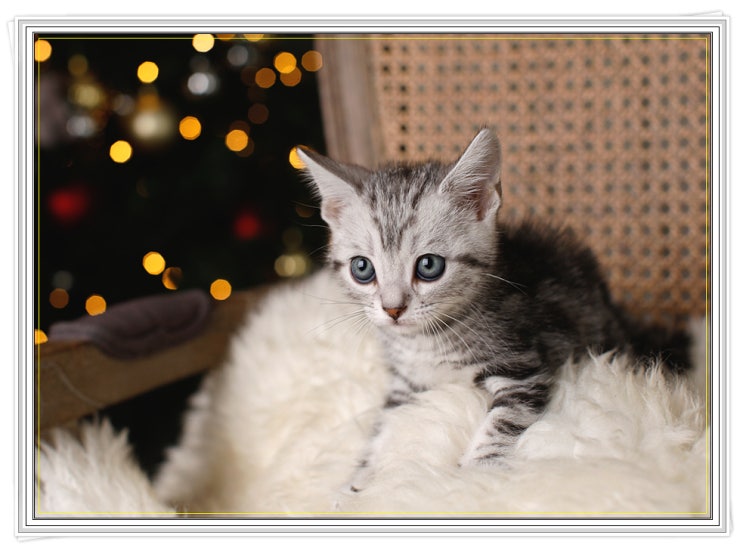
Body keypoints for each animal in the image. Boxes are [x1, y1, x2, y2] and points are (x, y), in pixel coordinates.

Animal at [296, 127, 689, 492]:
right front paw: (357, 483)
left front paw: (475, 479)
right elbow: (383, 428)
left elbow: (501, 423)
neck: (425, 343)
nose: (393, 309)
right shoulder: (405, 386)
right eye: (362, 269)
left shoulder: (522, 367)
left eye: (429, 266)